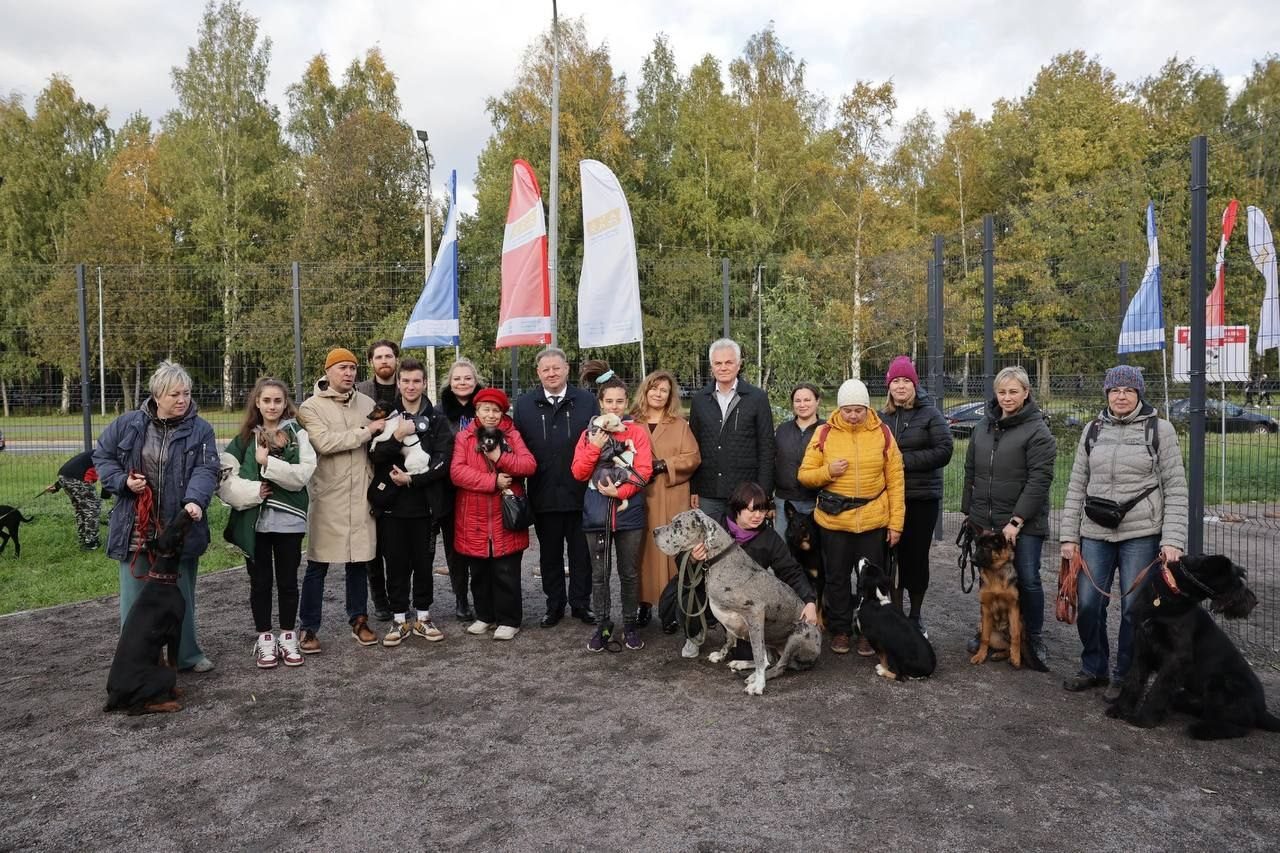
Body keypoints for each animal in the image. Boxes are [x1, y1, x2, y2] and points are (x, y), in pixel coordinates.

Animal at [972, 532, 1024, 666]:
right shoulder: (985, 609)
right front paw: (980, 656)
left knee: (1013, 643)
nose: (971, 560)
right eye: (977, 546)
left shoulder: (1013, 607)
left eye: (986, 547)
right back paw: (998, 655)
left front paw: (1016, 658)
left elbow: (1015, 636)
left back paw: (1011, 656)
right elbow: (984, 638)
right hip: (984, 629)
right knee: (1005, 646)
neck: (995, 571)